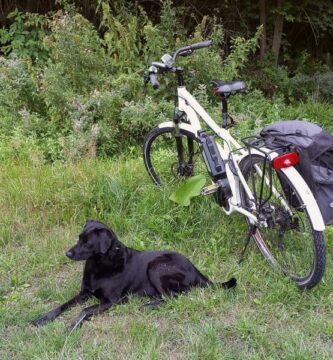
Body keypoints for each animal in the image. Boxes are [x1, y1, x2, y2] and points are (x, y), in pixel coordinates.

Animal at [30, 219, 233, 330]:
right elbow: (62, 305)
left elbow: (84, 310)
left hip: (156, 266)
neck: (100, 265)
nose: (67, 254)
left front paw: (72, 325)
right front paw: (44, 318)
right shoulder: (84, 293)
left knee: (173, 296)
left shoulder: (110, 301)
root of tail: (197, 270)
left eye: (87, 242)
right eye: (79, 238)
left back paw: (147, 305)